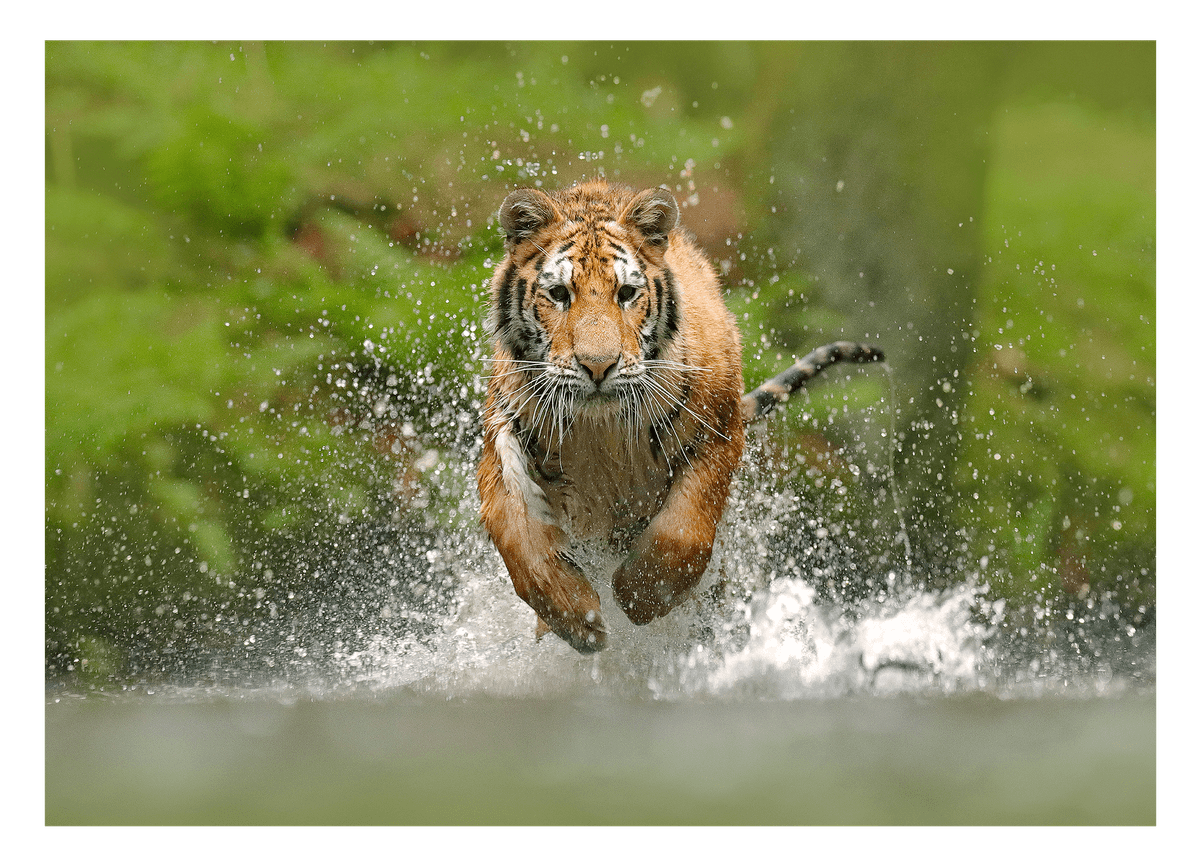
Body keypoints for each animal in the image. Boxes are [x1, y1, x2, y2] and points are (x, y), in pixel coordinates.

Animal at [477, 178, 883, 653]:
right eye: (559, 294)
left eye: (626, 293)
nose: (598, 366)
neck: (600, 429)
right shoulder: (502, 437)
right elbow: (517, 536)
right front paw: (578, 619)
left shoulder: (719, 432)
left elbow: (683, 530)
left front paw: (638, 597)